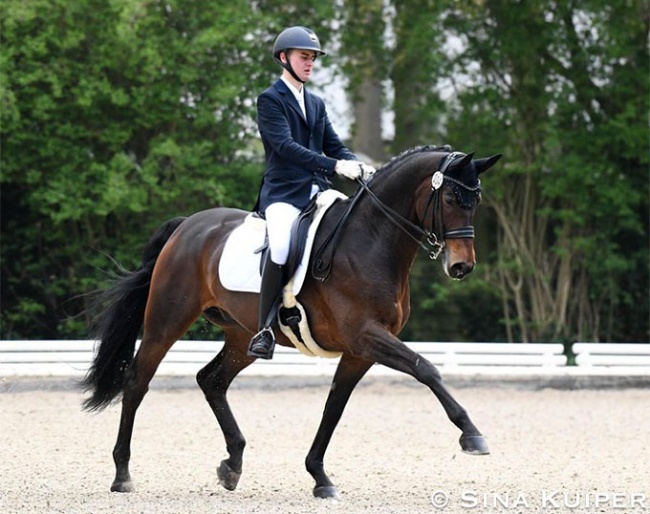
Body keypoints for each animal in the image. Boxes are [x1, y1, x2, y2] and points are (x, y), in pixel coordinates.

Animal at [81, 146, 502, 498]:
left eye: (476, 200)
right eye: (450, 199)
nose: (461, 267)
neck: (371, 242)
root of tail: (188, 226)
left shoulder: (359, 350)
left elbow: (335, 405)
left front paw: (319, 476)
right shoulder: (366, 336)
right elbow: (426, 368)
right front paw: (472, 435)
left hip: (241, 336)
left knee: (211, 380)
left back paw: (232, 465)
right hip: (167, 319)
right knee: (138, 380)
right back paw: (122, 475)